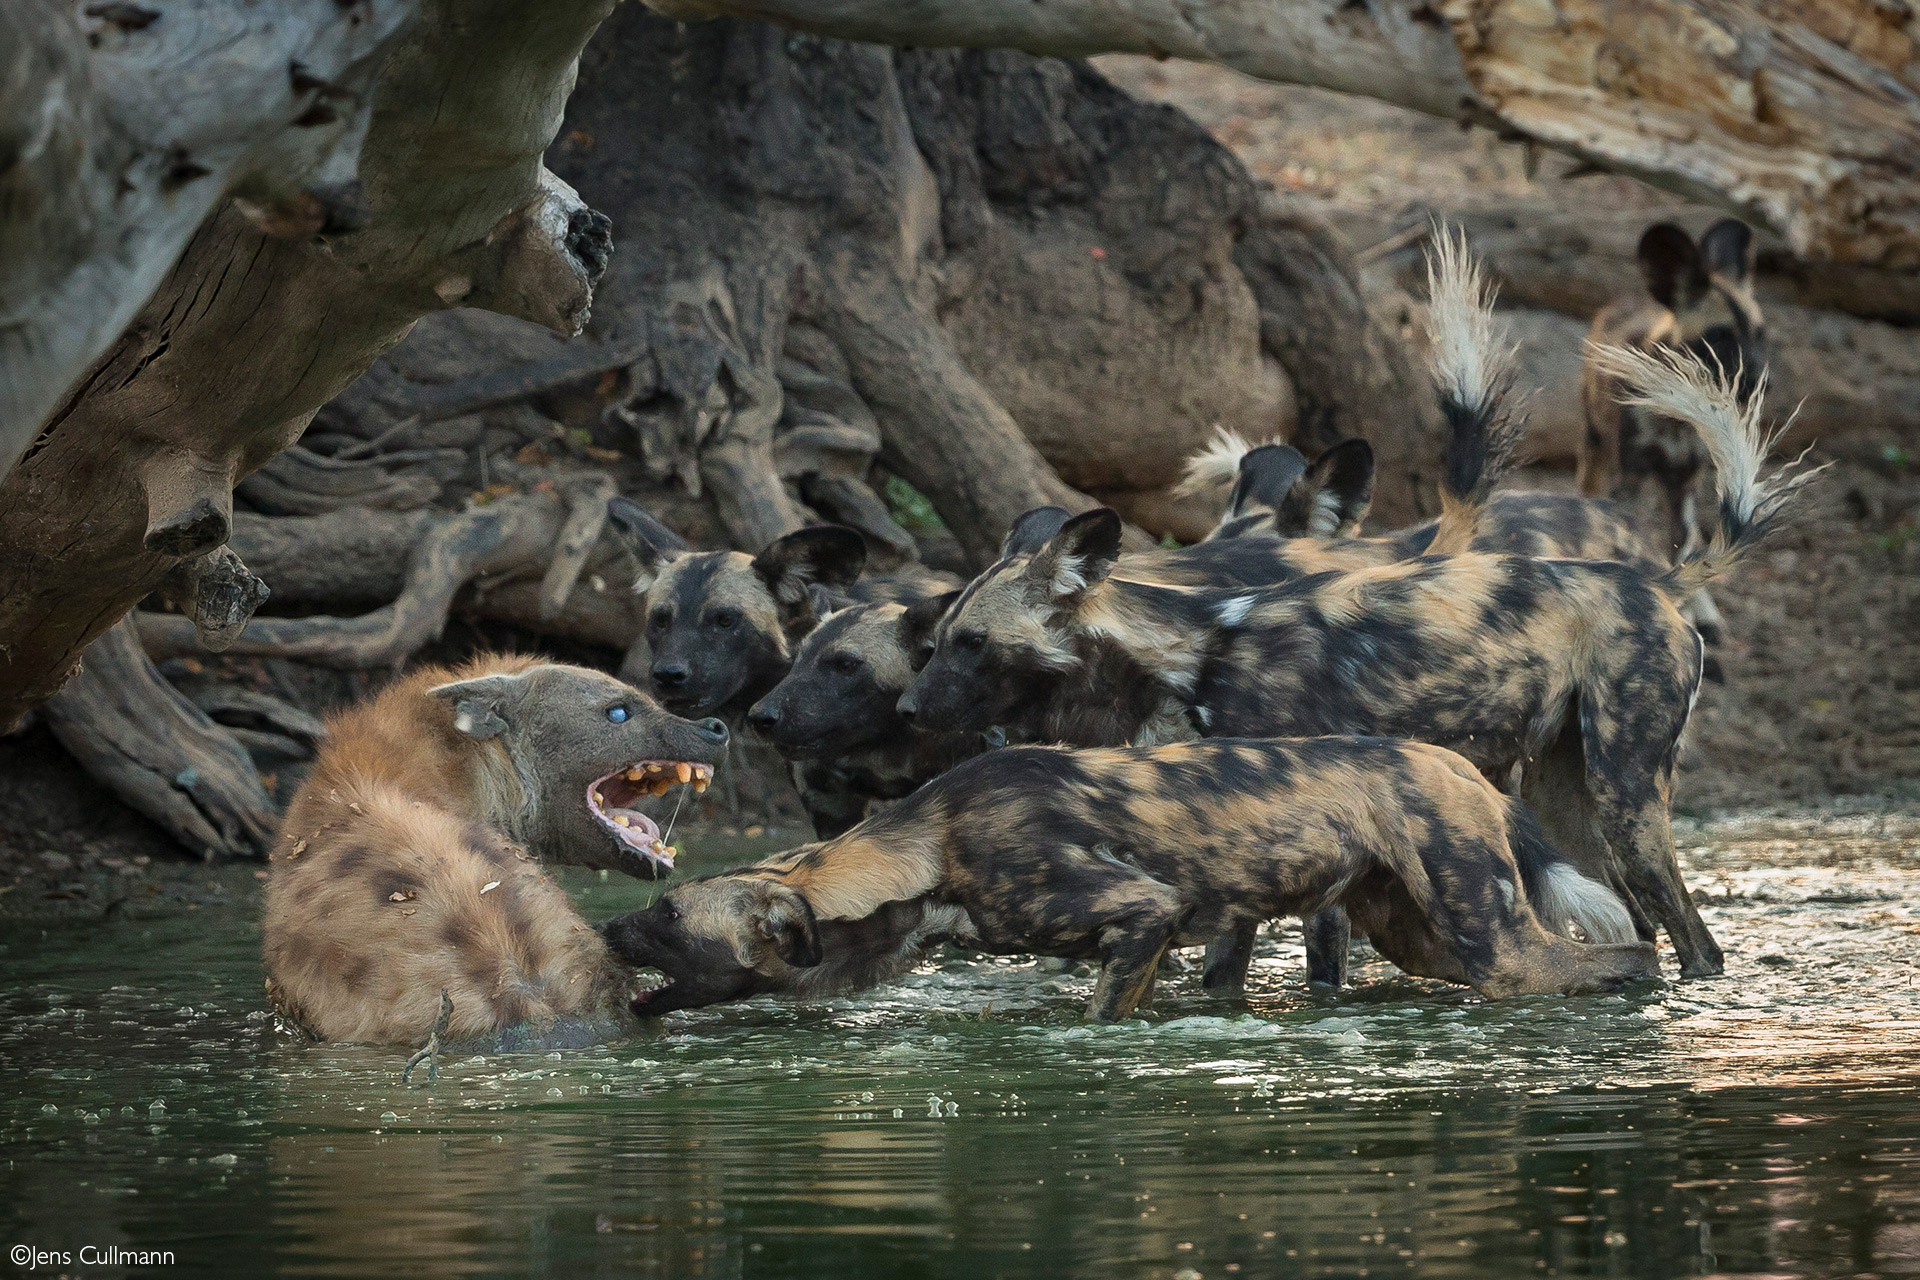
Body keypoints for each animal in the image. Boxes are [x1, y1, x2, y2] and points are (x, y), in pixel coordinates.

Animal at [606, 740, 1658, 1020]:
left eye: (668, 913)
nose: (607, 931)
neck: (930, 846)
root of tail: (1456, 764)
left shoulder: (1140, 915)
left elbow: (1096, 1018)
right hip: (1418, 935)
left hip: (1491, 945)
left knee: (1626, 956)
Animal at [906, 339, 1820, 982]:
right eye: (937, 636)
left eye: (972, 642)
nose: (908, 711)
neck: (1190, 651)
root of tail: (1659, 578)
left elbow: (1310, 968)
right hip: (1566, 799)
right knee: (1633, 926)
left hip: (1627, 800)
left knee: (1694, 942)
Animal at [1582, 220, 1758, 640]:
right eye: (1722, 335)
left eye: (1760, 334)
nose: (1762, 379)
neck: (1675, 423)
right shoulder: (1628, 479)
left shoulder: (1685, 479)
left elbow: (1686, 546)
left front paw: (1692, 611)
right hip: (1595, 445)